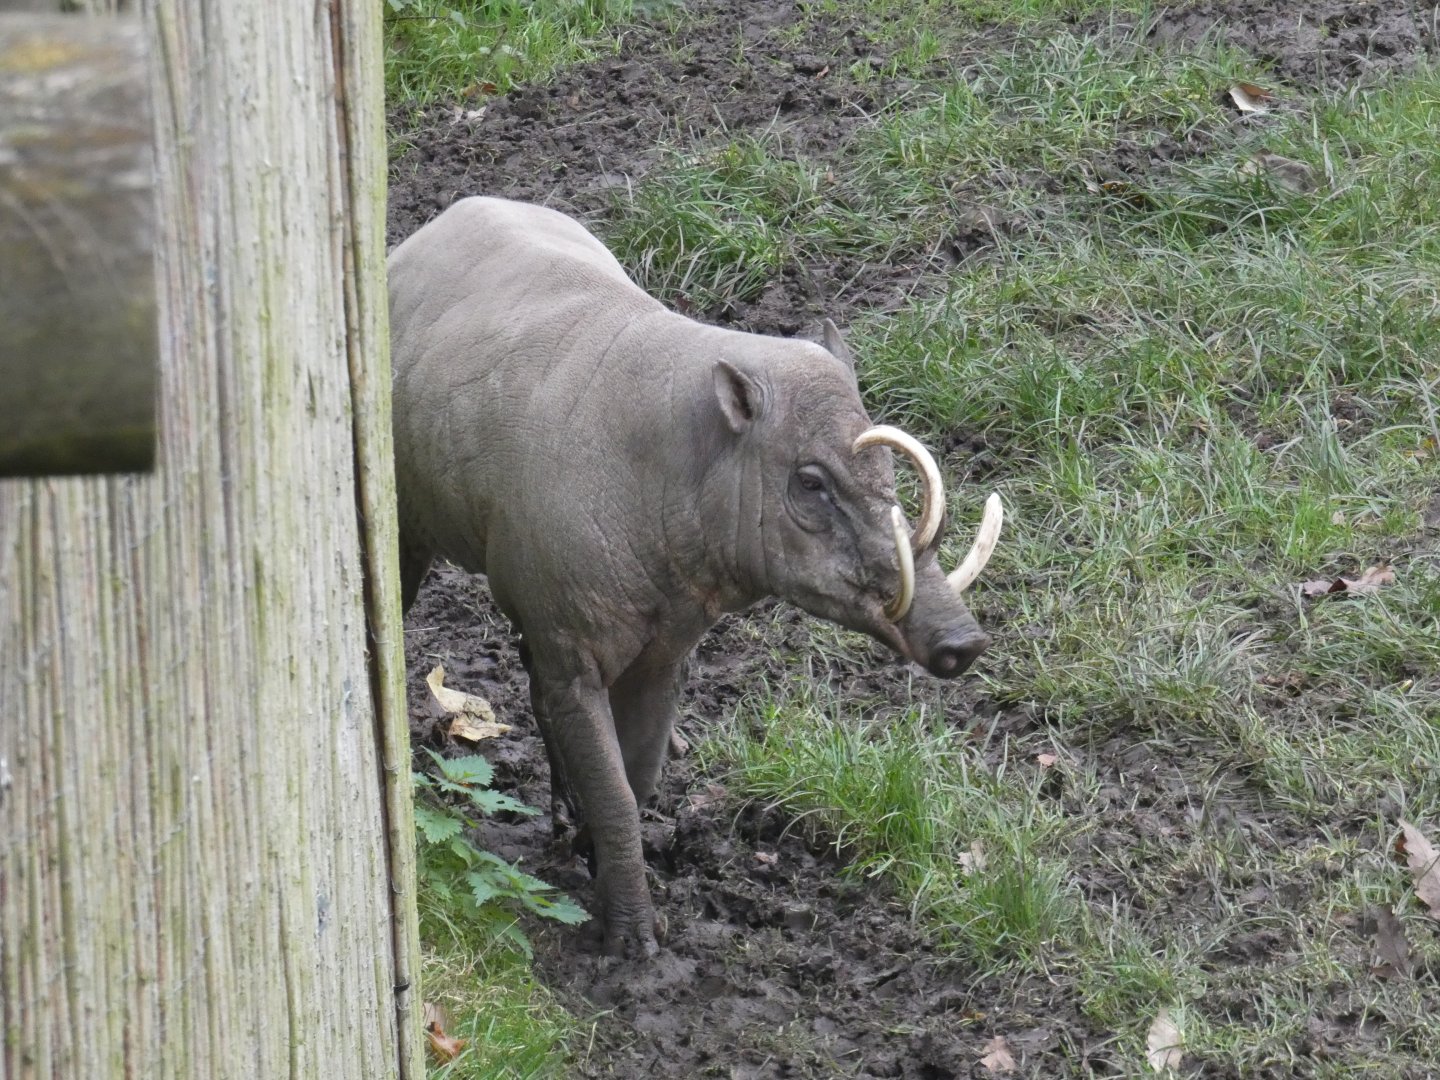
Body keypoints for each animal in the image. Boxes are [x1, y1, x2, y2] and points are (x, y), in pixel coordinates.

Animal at [389, 197, 1002, 957]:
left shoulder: (664, 647)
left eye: (887, 469)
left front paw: (591, 855)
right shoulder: (570, 640)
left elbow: (641, 774)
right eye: (810, 482)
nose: (962, 643)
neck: (670, 468)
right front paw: (635, 941)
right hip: (413, 526)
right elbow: (616, 790)